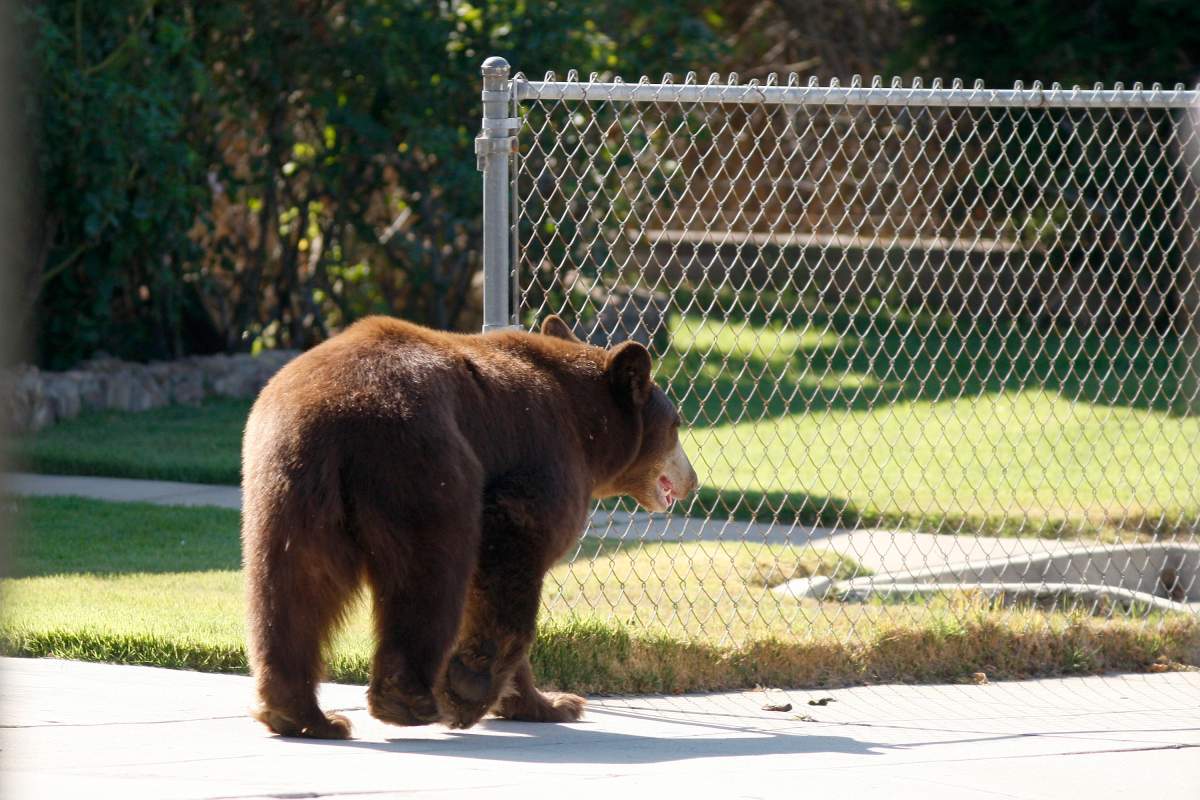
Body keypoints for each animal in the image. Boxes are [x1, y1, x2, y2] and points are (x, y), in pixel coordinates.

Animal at [241, 314, 698, 739]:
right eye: (676, 424)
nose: (692, 480)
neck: (589, 430)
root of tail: (334, 413)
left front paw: (551, 702)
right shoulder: (544, 458)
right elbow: (512, 553)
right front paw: (473, 687)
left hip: (288, 485)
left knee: (293, 587)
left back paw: (302, 715)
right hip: (422, 464)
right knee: (431, 572)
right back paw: (410, 700)